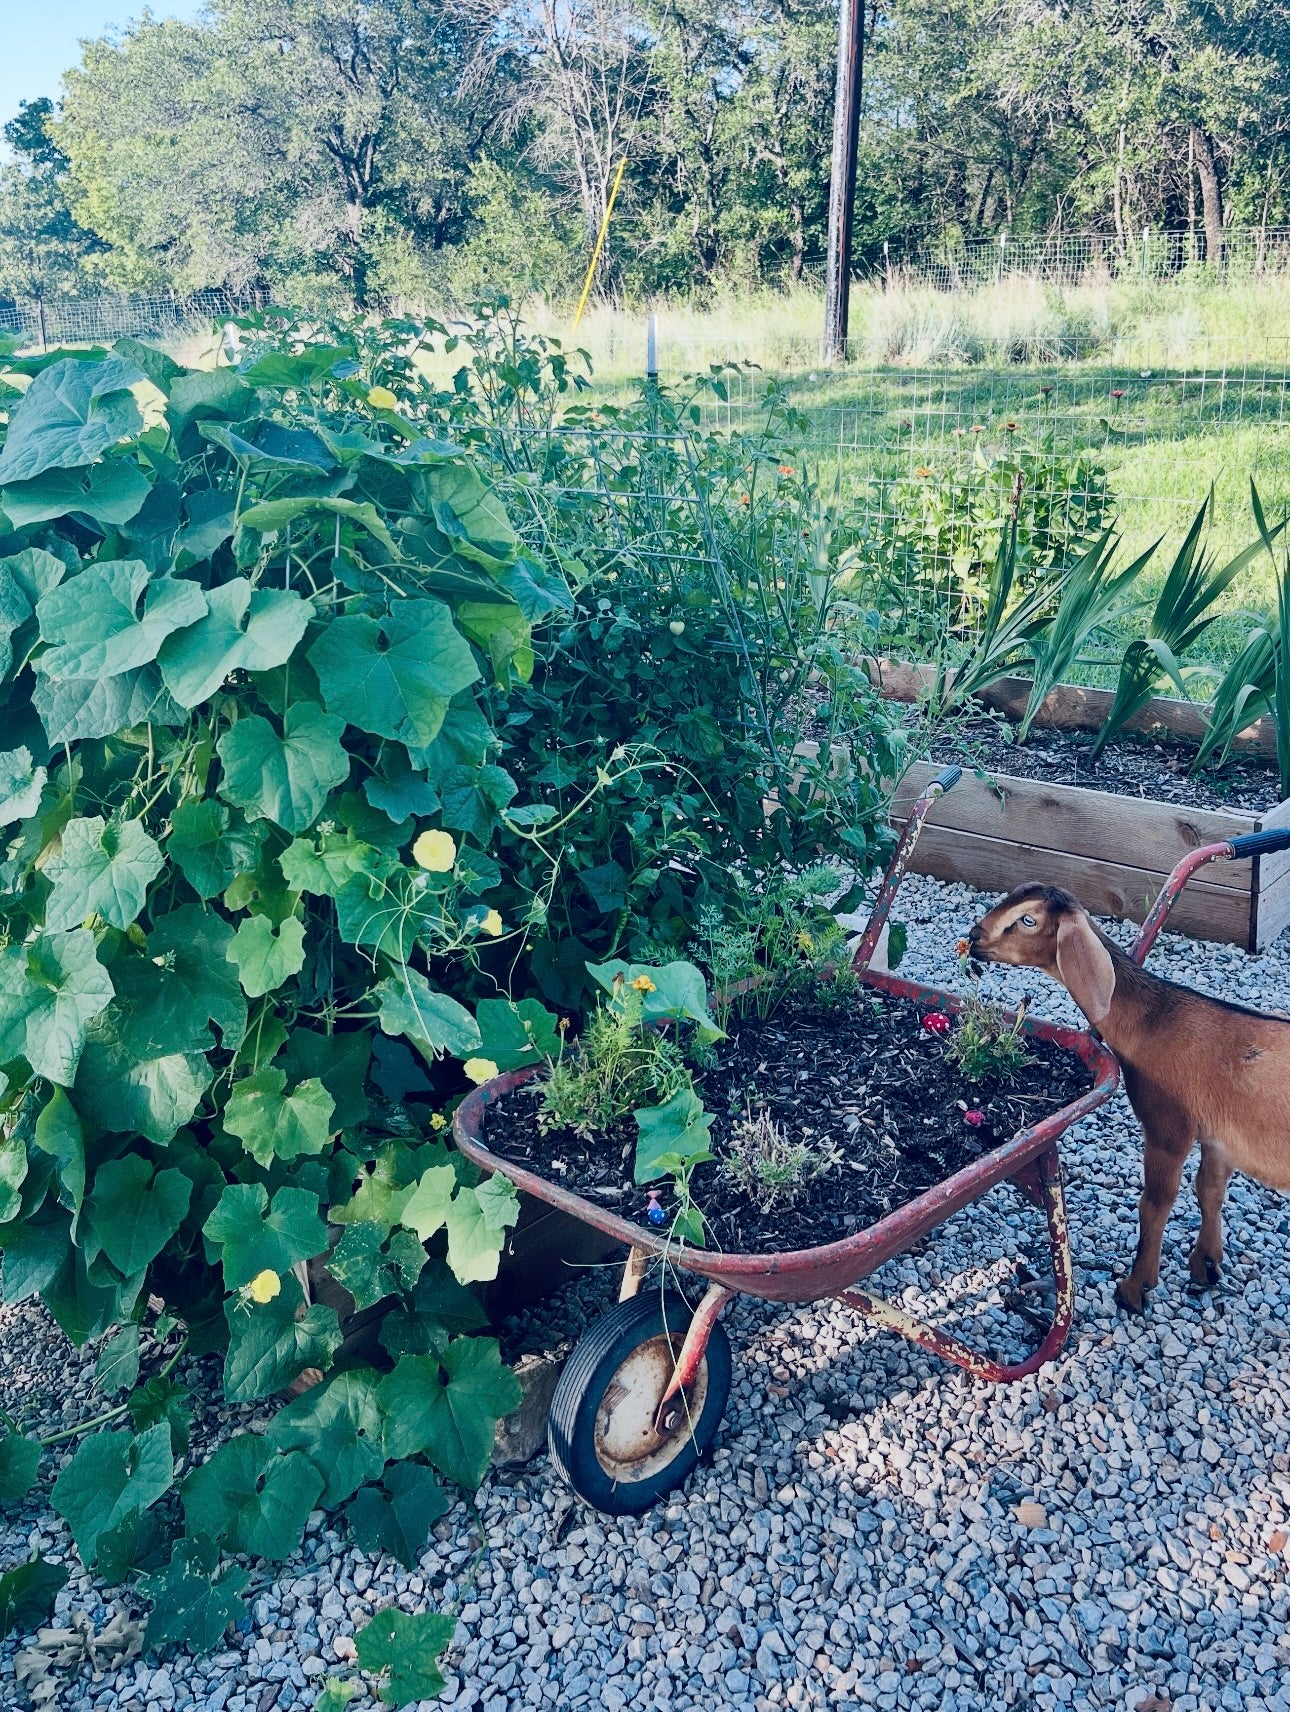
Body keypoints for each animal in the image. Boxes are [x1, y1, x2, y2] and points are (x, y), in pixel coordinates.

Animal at [968, 882, 1290, 1313]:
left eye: (1028, 920)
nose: (973, 938)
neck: (1156, 1023)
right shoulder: (1219, 1136)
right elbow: (1209, 1191)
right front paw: (1206, 1264)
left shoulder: (1168, 1126)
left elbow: (1155, 1201)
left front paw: (1136, 1287)